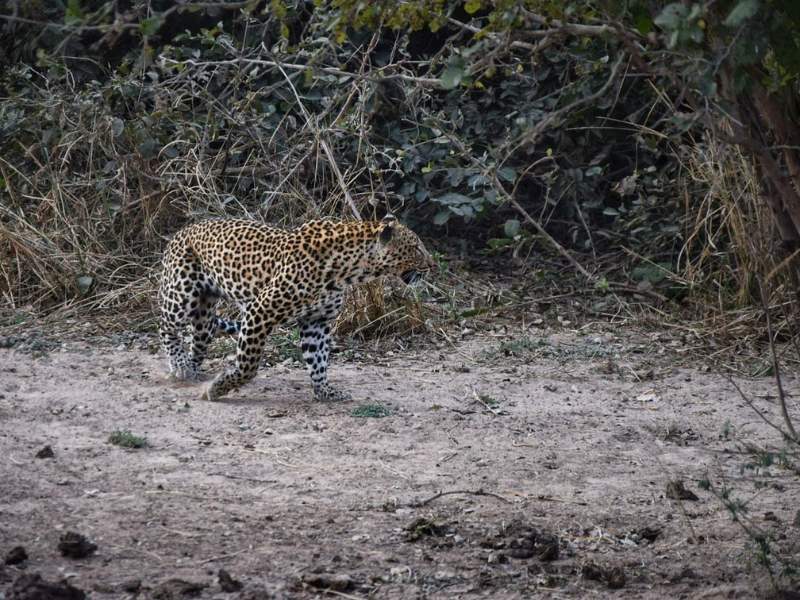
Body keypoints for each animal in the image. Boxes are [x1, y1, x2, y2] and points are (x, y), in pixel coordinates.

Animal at [159, 216, 434, 404]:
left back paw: (189, 370)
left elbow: (318, 361)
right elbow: (248, 365)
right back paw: (180, 364)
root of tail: (183, 230)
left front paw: (325, 392)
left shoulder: (317, 321)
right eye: (416, 248)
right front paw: (216, 389)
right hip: (181, 295)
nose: (433, 266)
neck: (349, 270)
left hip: (205, 314)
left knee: (198, 342)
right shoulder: (260, 311)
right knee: (165, 326)